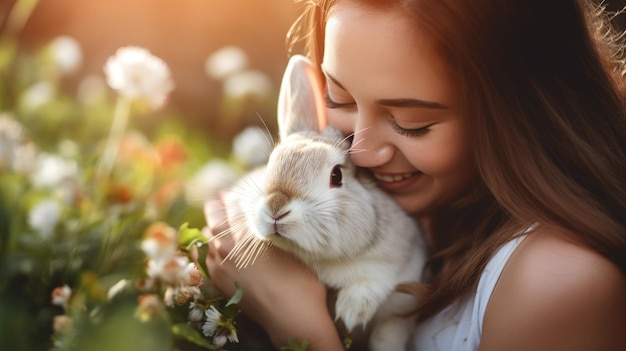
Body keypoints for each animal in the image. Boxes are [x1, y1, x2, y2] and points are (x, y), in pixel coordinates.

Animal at [218, 55, 424, 351]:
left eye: (336, 176)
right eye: (271, 164)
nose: (276, 209)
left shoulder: (404, 278)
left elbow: (379, 291)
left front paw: (352, 310)